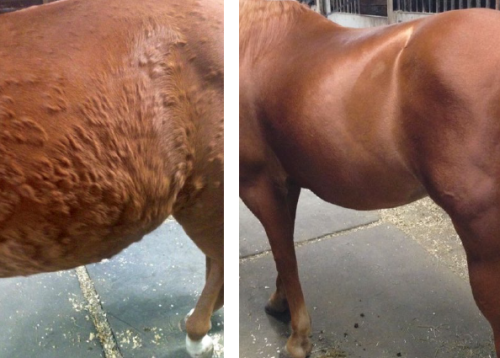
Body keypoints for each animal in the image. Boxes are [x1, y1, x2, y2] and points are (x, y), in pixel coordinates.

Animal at [240, 1, 500, 356]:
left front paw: (298, 338)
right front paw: (279, 303)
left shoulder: (258, 185)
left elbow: (283, 251)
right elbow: (284, 247)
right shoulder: (286, 183)